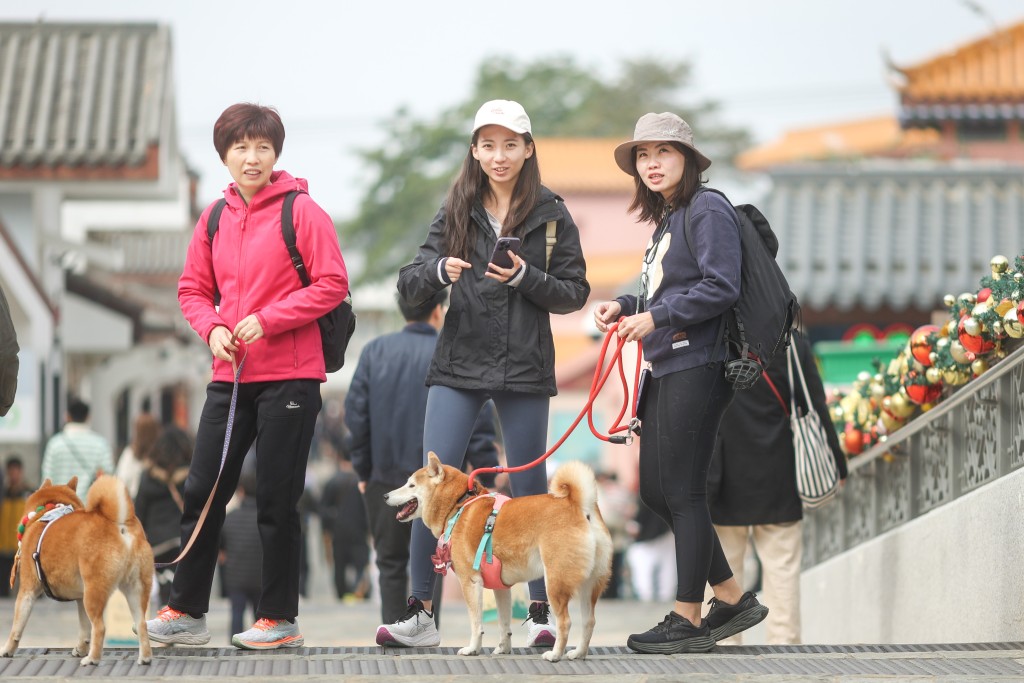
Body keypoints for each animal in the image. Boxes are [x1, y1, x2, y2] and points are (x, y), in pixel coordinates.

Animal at [1, 479, 153, 663]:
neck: (49, 510)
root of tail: (119, 522)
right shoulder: (80, 598)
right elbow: (84, 629)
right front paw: (80, 649)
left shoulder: (27, 591)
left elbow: (16, 628)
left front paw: (7, 649)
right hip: (134, 590)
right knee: (141, 624)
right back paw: (145, 658)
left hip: (94, 592)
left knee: (100, 627)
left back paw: (92, 659)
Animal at [385, 454, 610, 663]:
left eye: (411, 484)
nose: (386, 495)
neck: (460, 504)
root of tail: (580, 505)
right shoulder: (501, 586)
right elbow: (504, 623)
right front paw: (503, 648)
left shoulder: (470, 581)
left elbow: (476, 623)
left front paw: (472, 648)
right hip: (589, 585)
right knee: (589, 621)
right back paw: (578, 653)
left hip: (555, 582)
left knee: (565, 622)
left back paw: (555, 654)